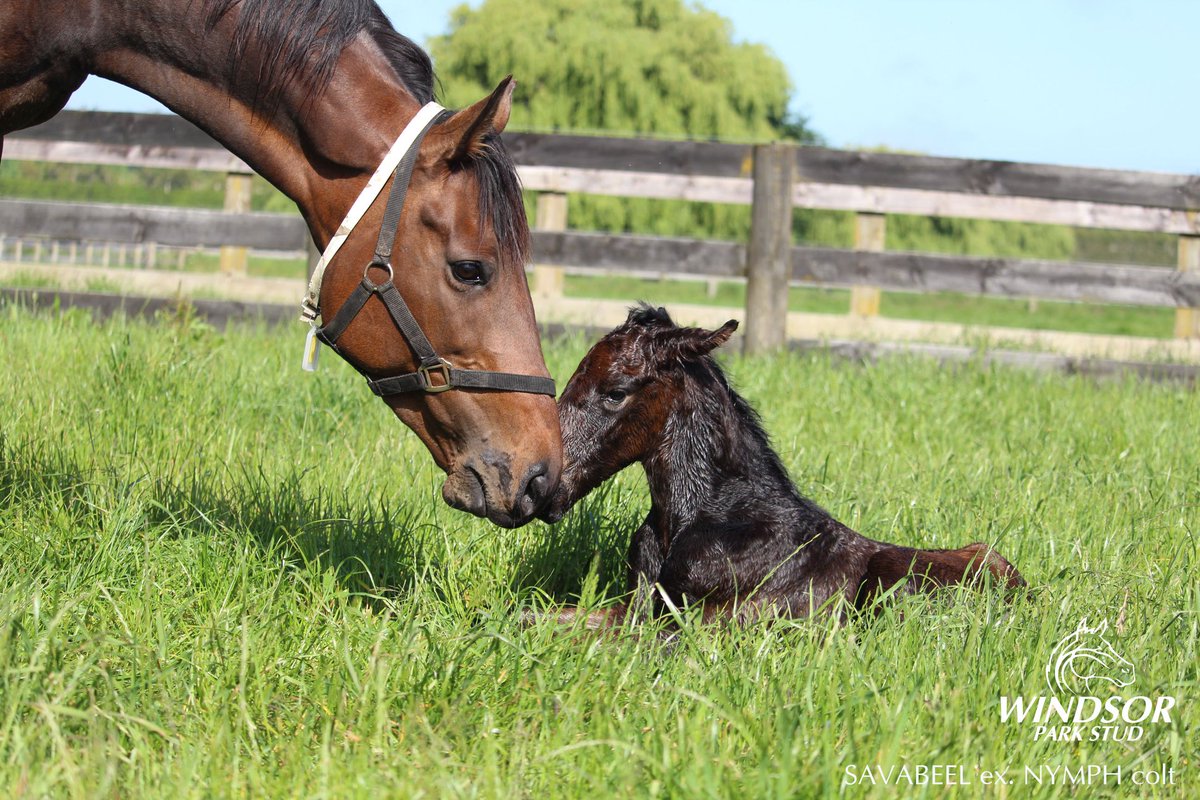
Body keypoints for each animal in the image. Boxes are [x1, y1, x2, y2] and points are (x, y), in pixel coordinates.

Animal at [537, 305, 1025, 627]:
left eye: (615, 392)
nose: (541, 484)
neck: (689, 520)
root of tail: (1027, 592)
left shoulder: (698, 625)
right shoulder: (636, 606)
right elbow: (543, 616)